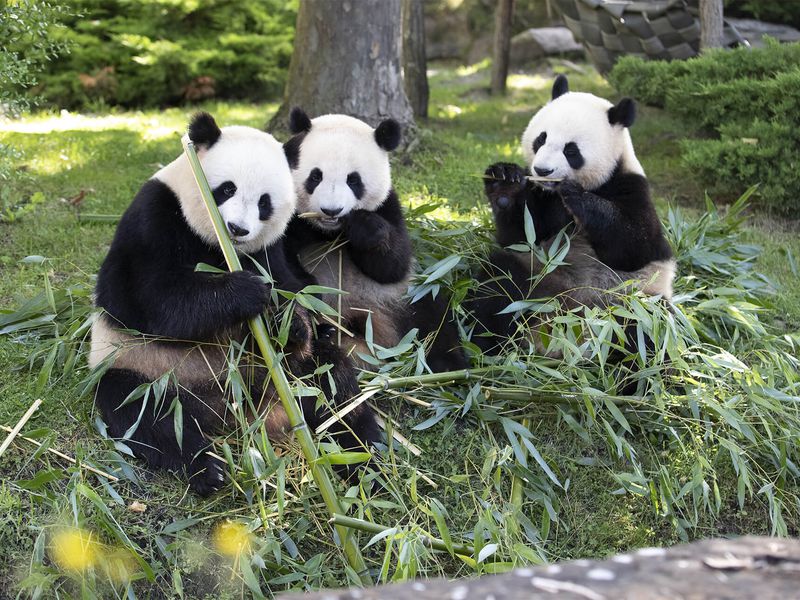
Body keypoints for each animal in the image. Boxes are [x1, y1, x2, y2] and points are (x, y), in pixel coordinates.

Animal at [89, 113, 380, 496]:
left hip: (285, 374)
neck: (217, 245)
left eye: (264, 203)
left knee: (334, 387)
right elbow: (144, 298)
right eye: (226, 189)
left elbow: (298, 293)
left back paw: (367, 458)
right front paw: (246, 293)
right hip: (146, 369)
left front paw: (289, 321)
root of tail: (230, 406)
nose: (238, 229)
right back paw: (208, 468)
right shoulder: (155, 217)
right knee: (146, 414)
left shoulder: (270, 250)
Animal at [284, 105, 466, 372]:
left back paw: (447, 365)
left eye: (353, 180)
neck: (328, 231)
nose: (331, 210)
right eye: (315, 176)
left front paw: (365, 228)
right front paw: (309, 291)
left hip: (402, 299)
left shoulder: (388, 205)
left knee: (433, 320)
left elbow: (393, 265)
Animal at [468, 76, 676, 356]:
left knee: (646, 334)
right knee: (498, 288)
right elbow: (519, 235)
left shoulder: (632, 187)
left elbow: (635, 245)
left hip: (632, 300)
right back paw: (487, 348)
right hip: (534, 277)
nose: (542, 170)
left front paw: (577, 197)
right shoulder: (540, 205)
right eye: (541, 139)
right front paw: (504, 182)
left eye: (571, 150)